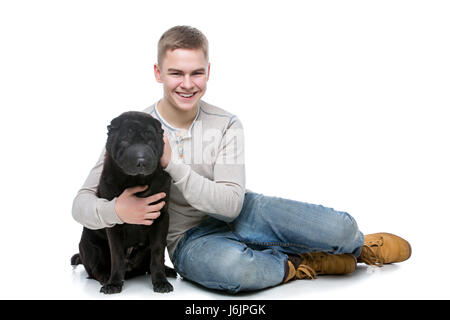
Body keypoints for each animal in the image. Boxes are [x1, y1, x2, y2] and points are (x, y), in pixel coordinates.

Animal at [70, 111, 176, 294]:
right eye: (125, 139)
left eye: (150, 138)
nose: (141, 160)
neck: (136, 182)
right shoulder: (114, 224)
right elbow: (117, 255)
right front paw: (114, 284)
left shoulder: (161, 217)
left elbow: (157, 252)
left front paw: (161, 282)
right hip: (89, 244)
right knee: (95, 269)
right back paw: (106, 277)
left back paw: (167, 271)